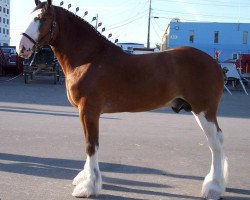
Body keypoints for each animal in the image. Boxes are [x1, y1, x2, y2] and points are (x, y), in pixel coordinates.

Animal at [17, 0, 229, 199]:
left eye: (42, 18)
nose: (21, 48)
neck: (89, 58)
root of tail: (214, 63)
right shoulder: (85, 113)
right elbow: (88, 143)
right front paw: (85, 179)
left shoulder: (89, 111)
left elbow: (91, 145)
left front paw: (88, 187)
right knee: (217, 140)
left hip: (204, 110)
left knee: (215, 143)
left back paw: (213, 188)